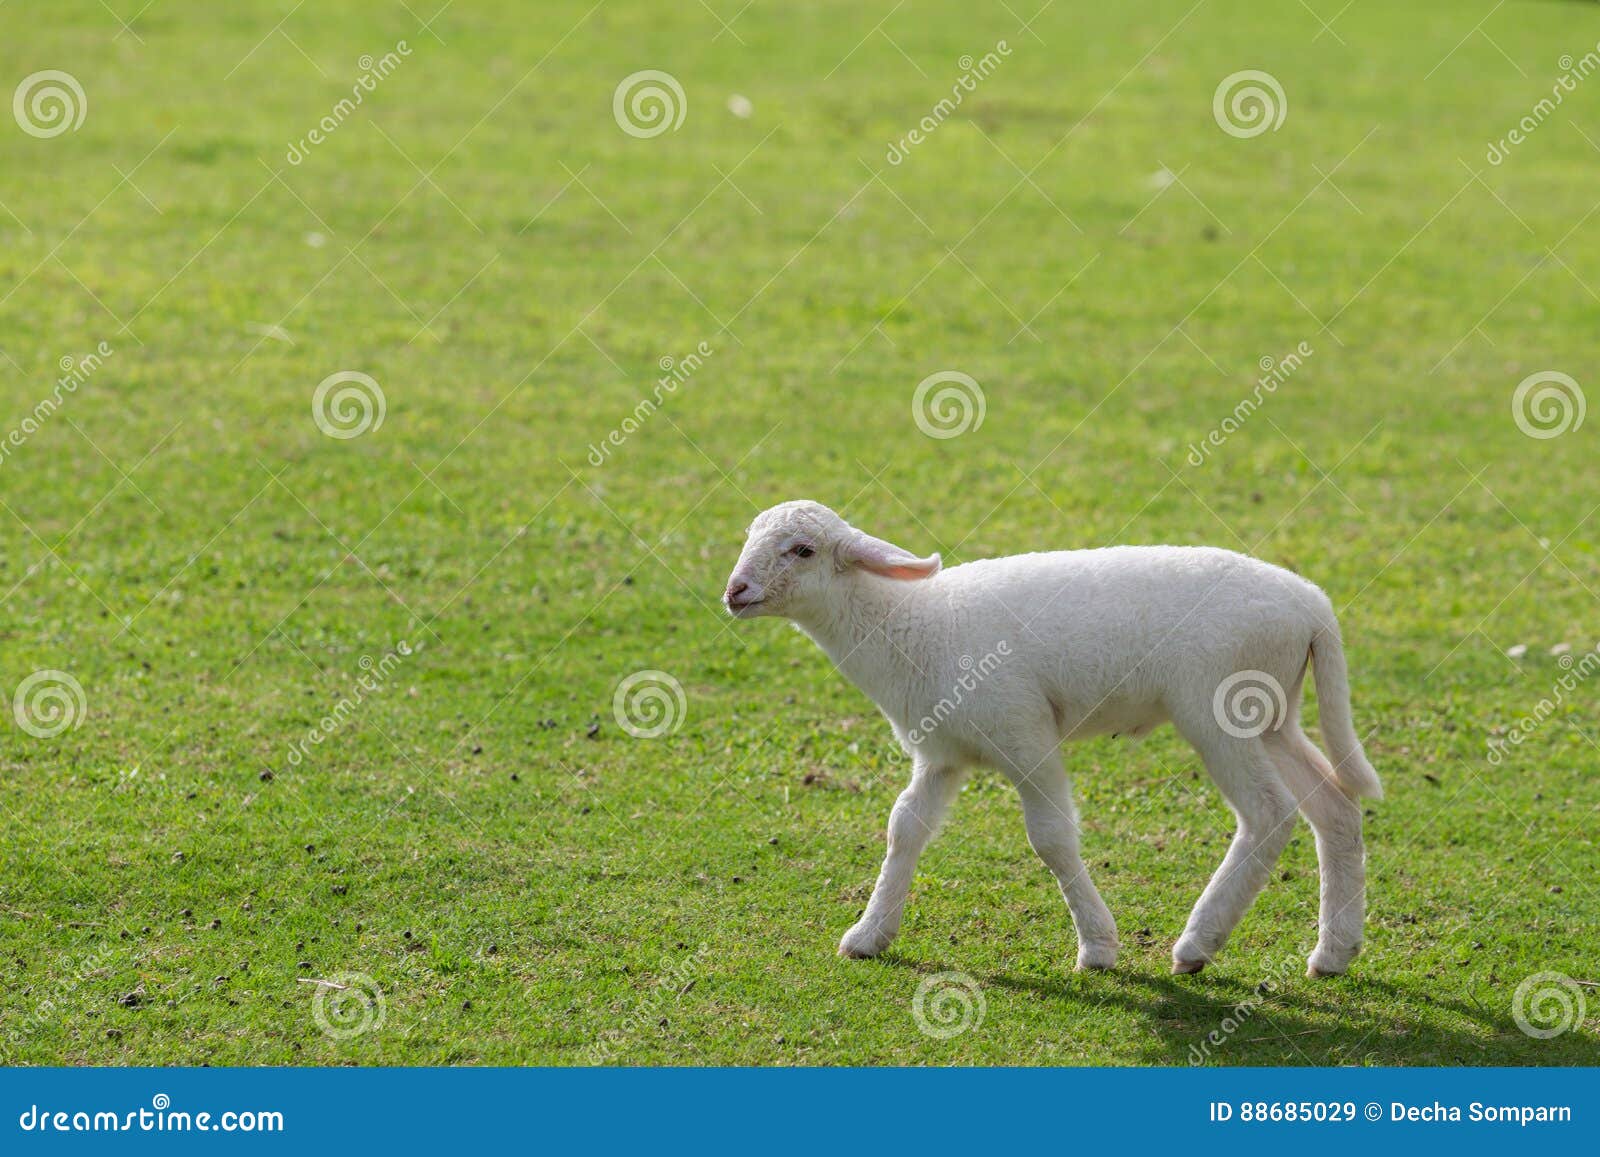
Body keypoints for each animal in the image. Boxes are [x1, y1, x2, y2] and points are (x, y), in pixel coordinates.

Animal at [723, 499, 1376, 979]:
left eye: (802, 550)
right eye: (749, 536)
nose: (735, 591)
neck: (912, 625)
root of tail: (1314, 607)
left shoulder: (1024, 735)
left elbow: (1052, 839)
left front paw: (1098, 947)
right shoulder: (942, 754)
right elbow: (905, 826)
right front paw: (869, 934)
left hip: (1218, 707)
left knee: (1269, 812)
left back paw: (1198, 943)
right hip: (1273, 714)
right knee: (1335, 811)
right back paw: (1333, 953)